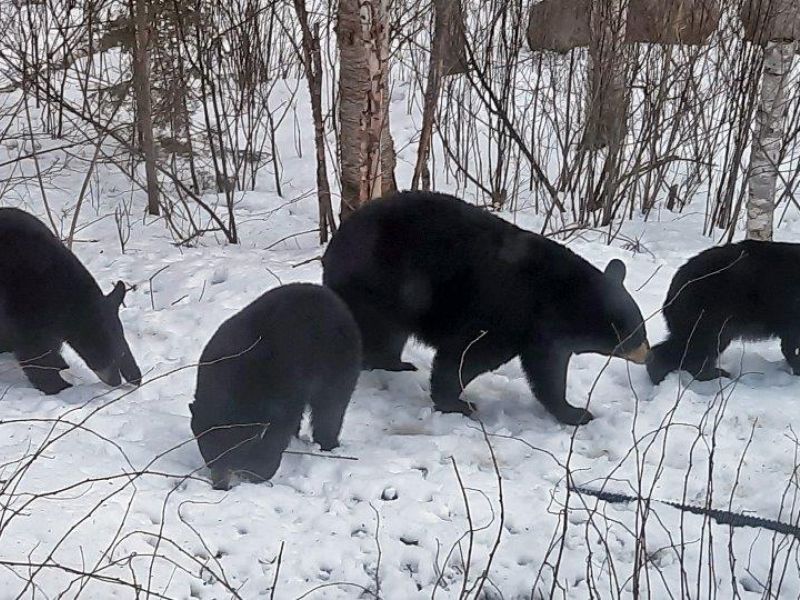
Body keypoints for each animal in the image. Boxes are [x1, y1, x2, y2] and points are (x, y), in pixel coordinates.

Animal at [0, 207, 142, 394]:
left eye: (121, 351)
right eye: (100, 351)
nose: (115, 381)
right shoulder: (24, 307)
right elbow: (35, 352)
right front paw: (59, 385)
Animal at [189, 283, 362, 490]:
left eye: (233, 453)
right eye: (208, 453)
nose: (220, 485)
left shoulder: (283, 387)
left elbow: (277, 430)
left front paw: (259, 470)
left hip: (336, 360)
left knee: (331, 407)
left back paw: (328, 444)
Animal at [322, 190, 649, 426]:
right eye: (637, 334)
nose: (647, 354)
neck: (560, 298)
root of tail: (336, 240)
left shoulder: (541, 335)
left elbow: (547, 371)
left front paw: (573, 411)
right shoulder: (508, 313)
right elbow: (468, 354)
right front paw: (458, 404)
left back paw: (396, 363)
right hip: (378, 285)